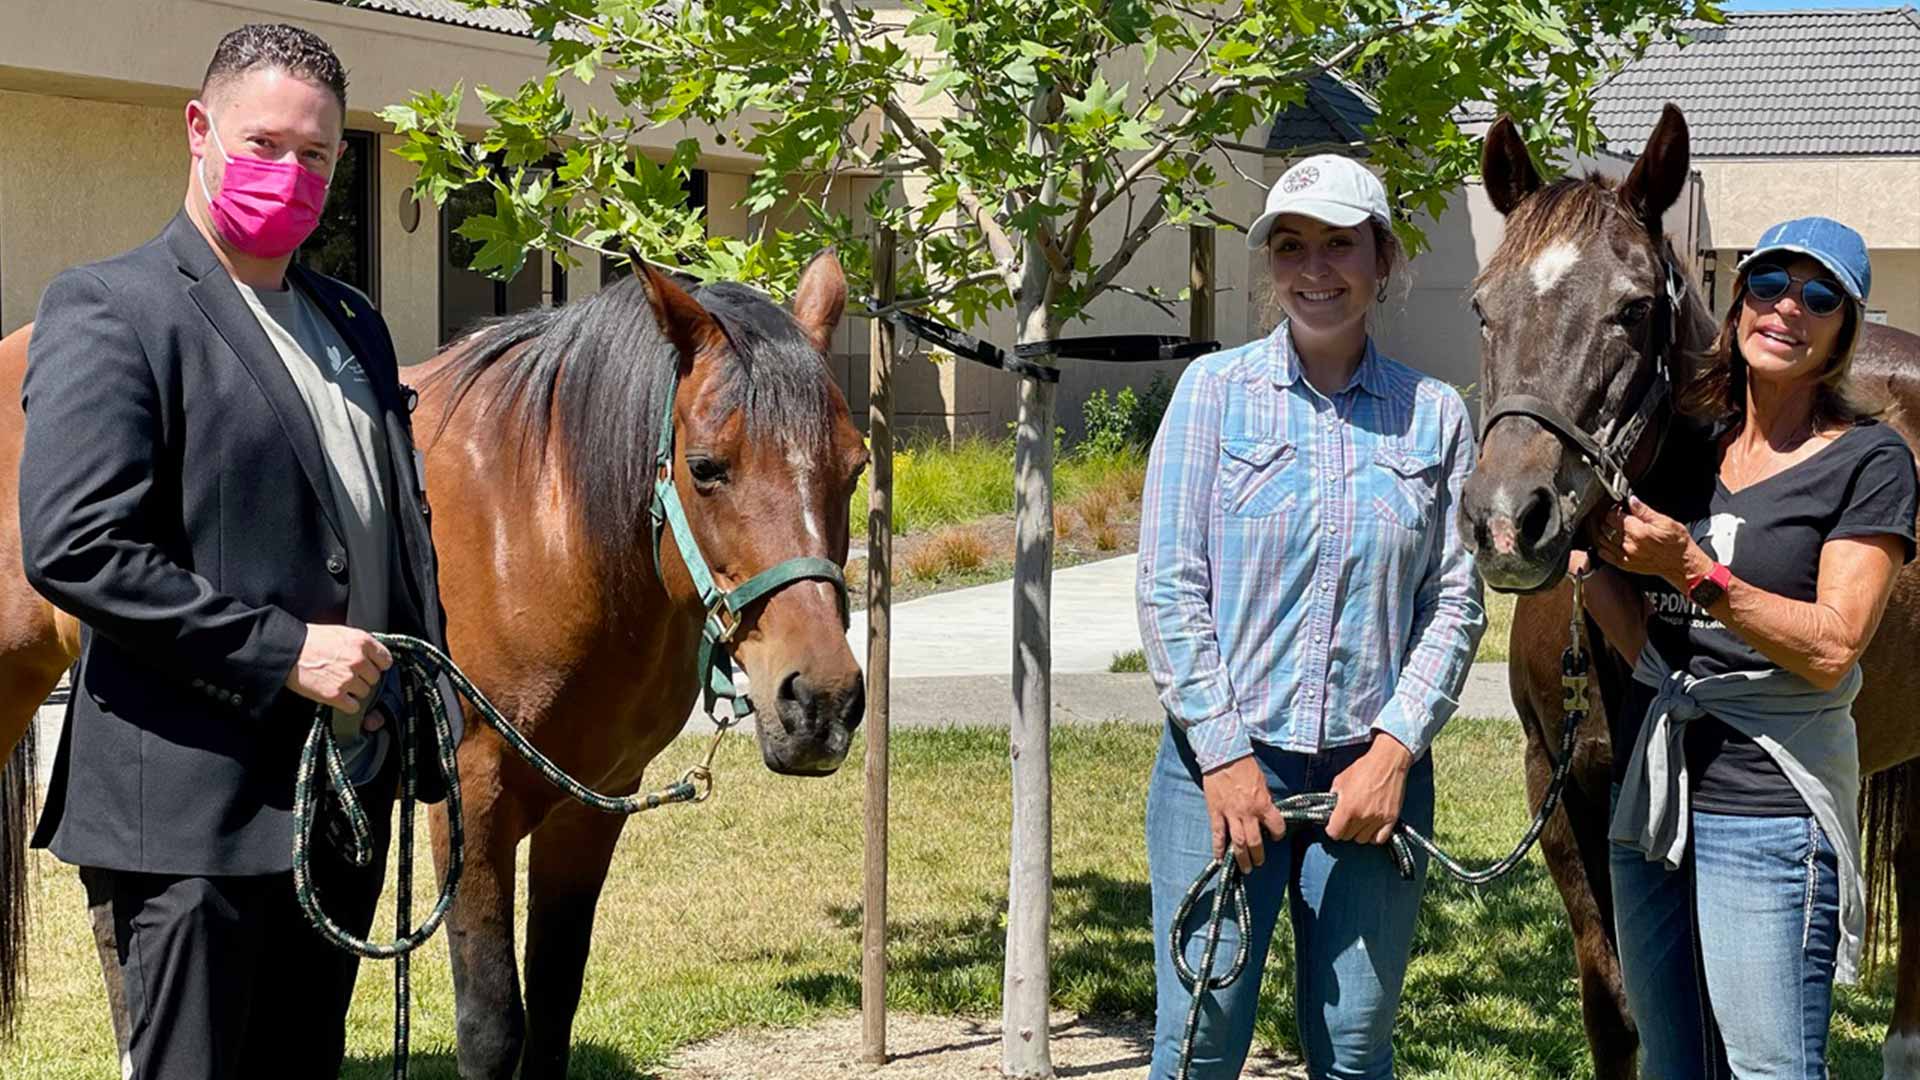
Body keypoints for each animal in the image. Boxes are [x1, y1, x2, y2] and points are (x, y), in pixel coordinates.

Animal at [0, 249, 864, 1068]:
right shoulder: (471, 799)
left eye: (854, 468)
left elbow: (554, 1008)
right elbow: (493, 1026)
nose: (820, 702)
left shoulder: (595, 803)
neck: (544, 524)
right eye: (707, 466)